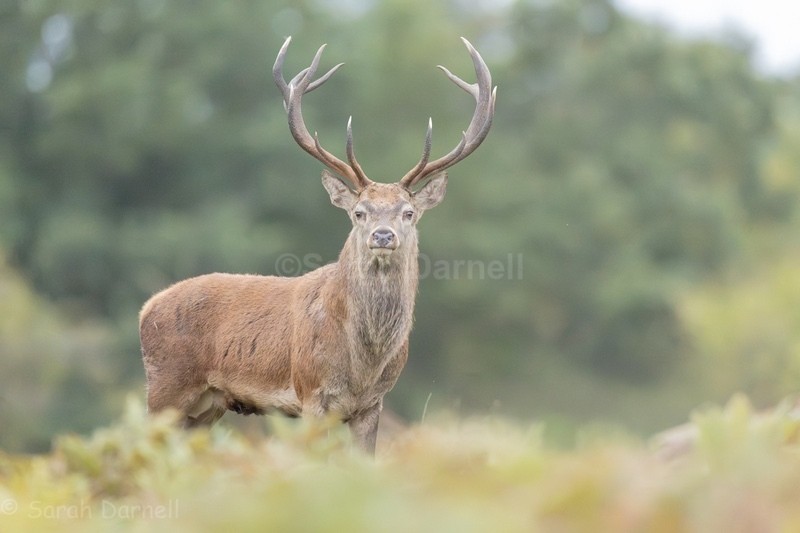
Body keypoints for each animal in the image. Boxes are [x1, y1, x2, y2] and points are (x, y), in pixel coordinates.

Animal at [139, 36, 496, 455]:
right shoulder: (310, 392)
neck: (363, 364)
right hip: (165, 388)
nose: (383, 235)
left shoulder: (373, 403)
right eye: (359, 212)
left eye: (408, 212)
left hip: (206, 406)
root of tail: (147, 308)